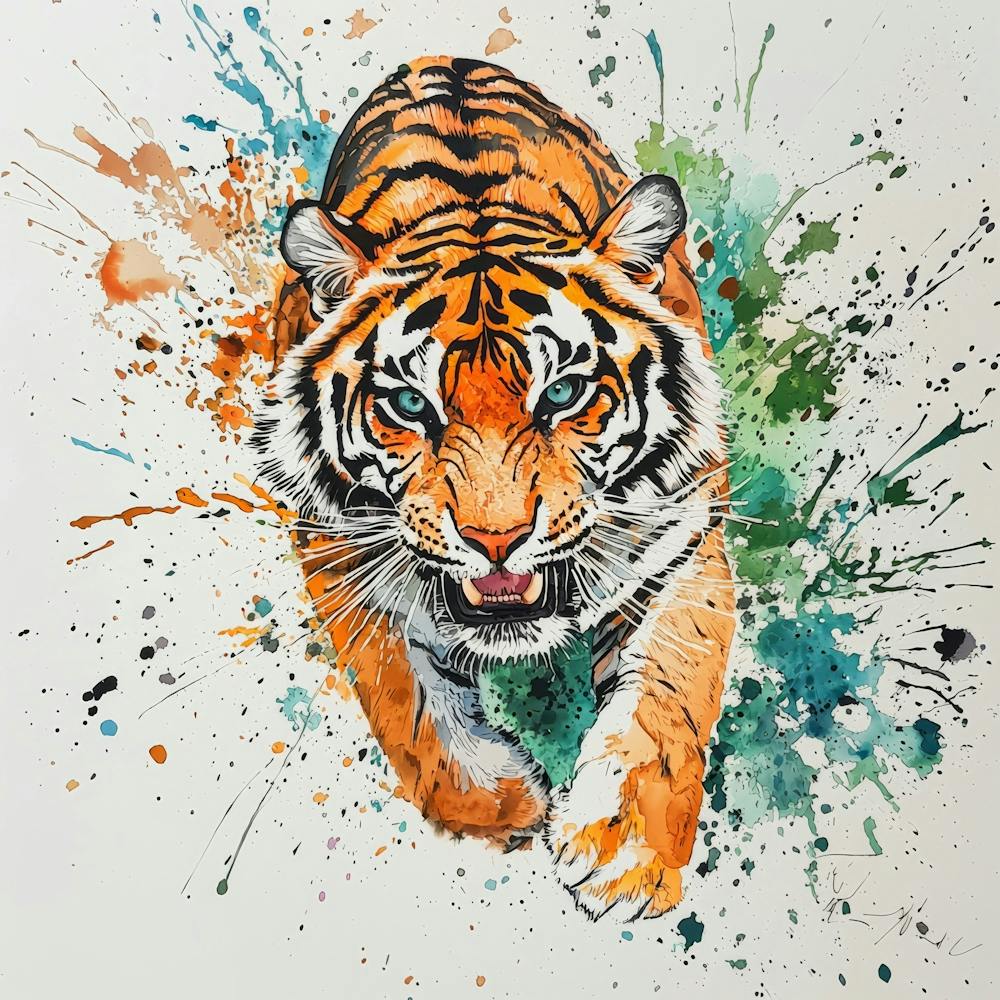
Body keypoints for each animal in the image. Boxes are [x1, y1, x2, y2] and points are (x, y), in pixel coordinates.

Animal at [253, 56, 735, 920]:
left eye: (562, 394)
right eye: (410, 405)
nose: (496, 539)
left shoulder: (681, 536)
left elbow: (666, 695)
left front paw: (624, 855)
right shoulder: (338, 550)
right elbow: (404, 699)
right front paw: (499, 806)